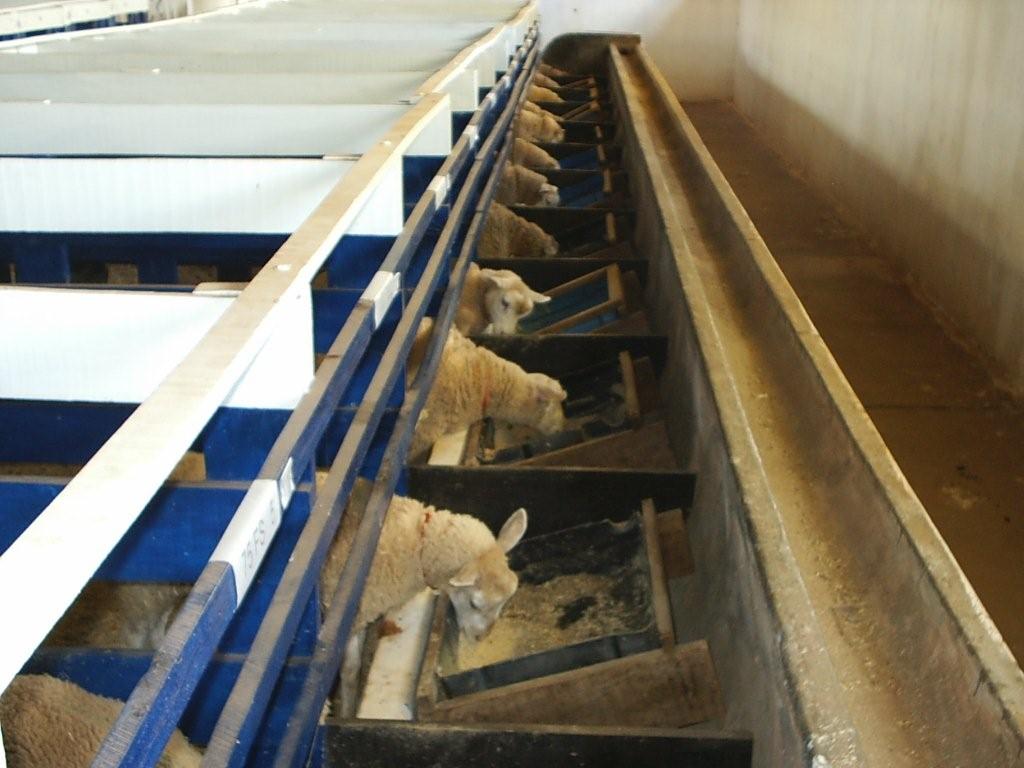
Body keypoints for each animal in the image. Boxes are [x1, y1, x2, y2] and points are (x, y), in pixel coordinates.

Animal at [321, 489, 532, 720]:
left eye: (506, 600)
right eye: (474, 604)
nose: (481, 638)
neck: (416, 545)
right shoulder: (352, 617)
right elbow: (351, 671)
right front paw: (347, 712)